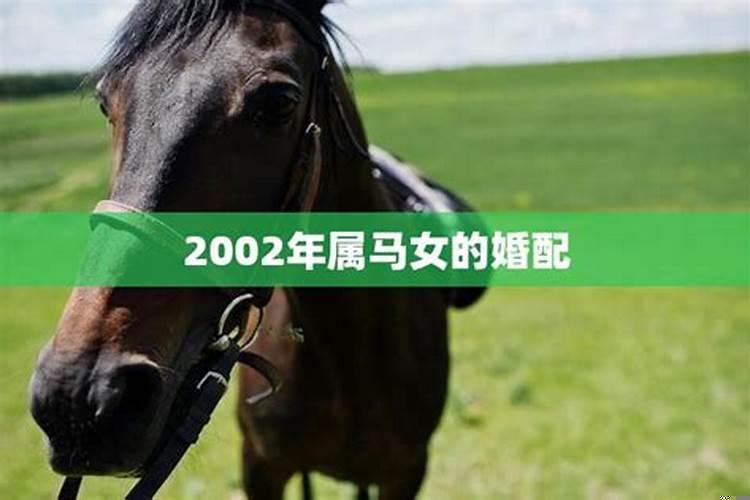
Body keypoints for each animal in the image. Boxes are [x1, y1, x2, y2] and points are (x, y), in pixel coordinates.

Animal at [29, 1, 483, 499]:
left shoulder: (404, 472)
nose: (76, 394)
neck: (346, 357)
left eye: (279, 102)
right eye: (105, 102)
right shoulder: (261, 465)